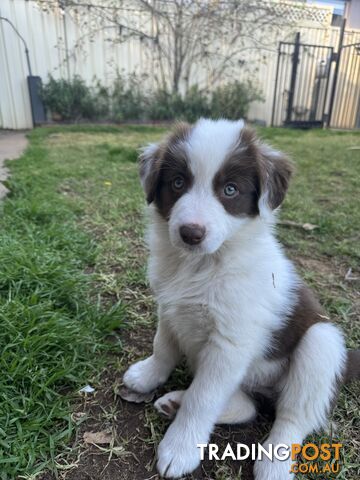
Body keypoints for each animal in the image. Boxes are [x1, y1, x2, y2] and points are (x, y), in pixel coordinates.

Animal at [123, 118, 358, 478]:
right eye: (177, 183)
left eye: (230, 190)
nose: (190, 233)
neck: (201, 265)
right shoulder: (170, 308)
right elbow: (162, 347)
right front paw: (147, 376)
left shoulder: (229, 344)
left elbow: (203, 398)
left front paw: (180, 448)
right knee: (248, 407)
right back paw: (176, 401)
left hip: (322, 342)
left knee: (293, 418)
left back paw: (274, 463)